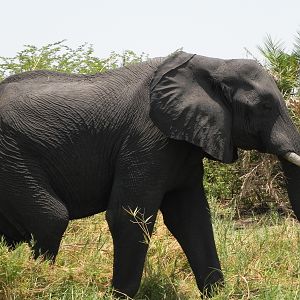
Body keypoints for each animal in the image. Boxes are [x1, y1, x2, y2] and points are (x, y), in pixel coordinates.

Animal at [0, 51, 300, 298]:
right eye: (265, 106)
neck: (212, 62)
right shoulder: (146, 139)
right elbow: (129, 216)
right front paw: (118, 297)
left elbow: (191, 219)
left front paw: (217, 294)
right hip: (11, 155)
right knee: (50, 218)